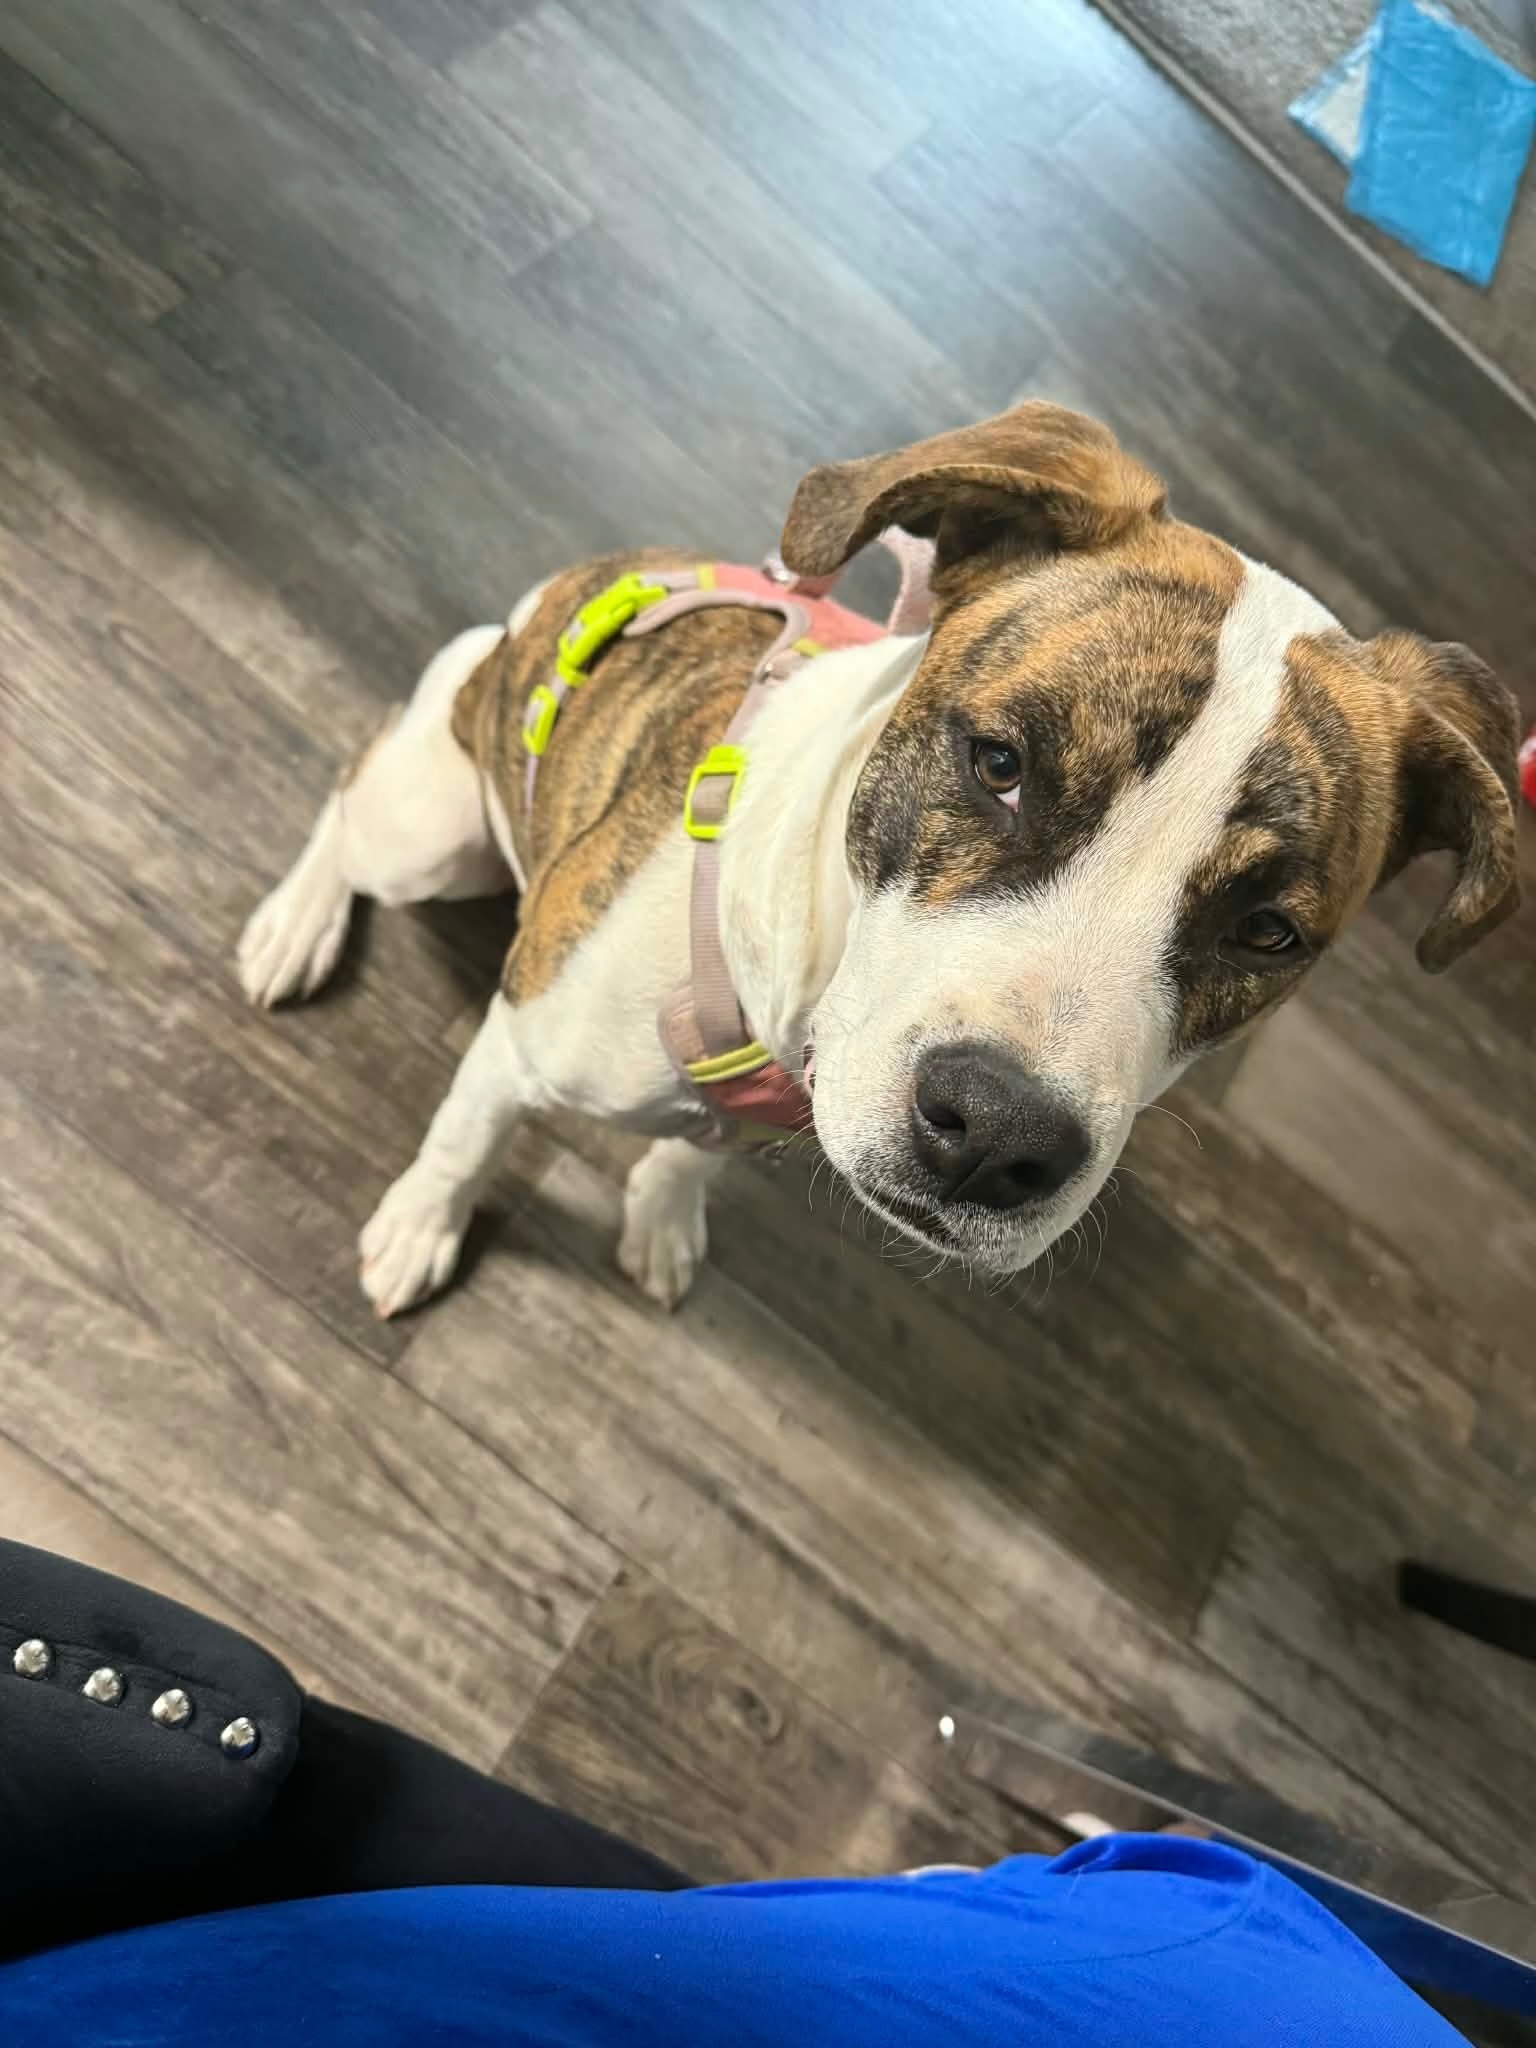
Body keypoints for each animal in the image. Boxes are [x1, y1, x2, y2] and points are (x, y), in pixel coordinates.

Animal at [238, 402, 1520, 1316]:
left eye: (1267, 930)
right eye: (1000, 762)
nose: (1000, 1134)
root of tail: (568, 591)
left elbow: (698, 1159)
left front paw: (663, 1207)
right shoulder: (517, 1043)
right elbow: (464, 1143)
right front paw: (421, 1225)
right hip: (429, 828)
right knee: (355, 792)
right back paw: (295, 925)